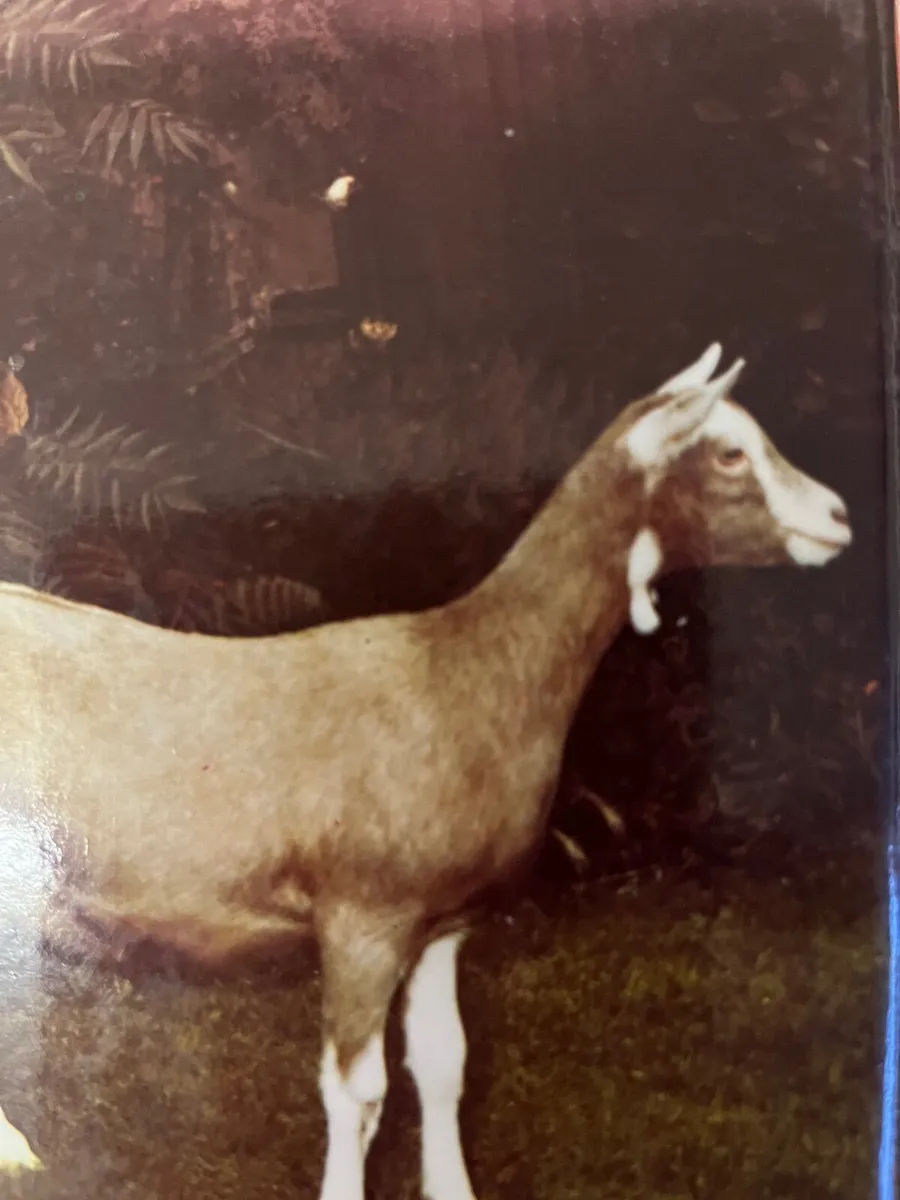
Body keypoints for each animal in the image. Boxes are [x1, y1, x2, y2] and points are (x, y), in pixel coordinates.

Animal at [0, 343, 851, 1200]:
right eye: (731, 452)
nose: (839, 516)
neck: (468, 667)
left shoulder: (443, 921)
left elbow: (445, 1068)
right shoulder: (362, 916)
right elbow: (358, 1092)